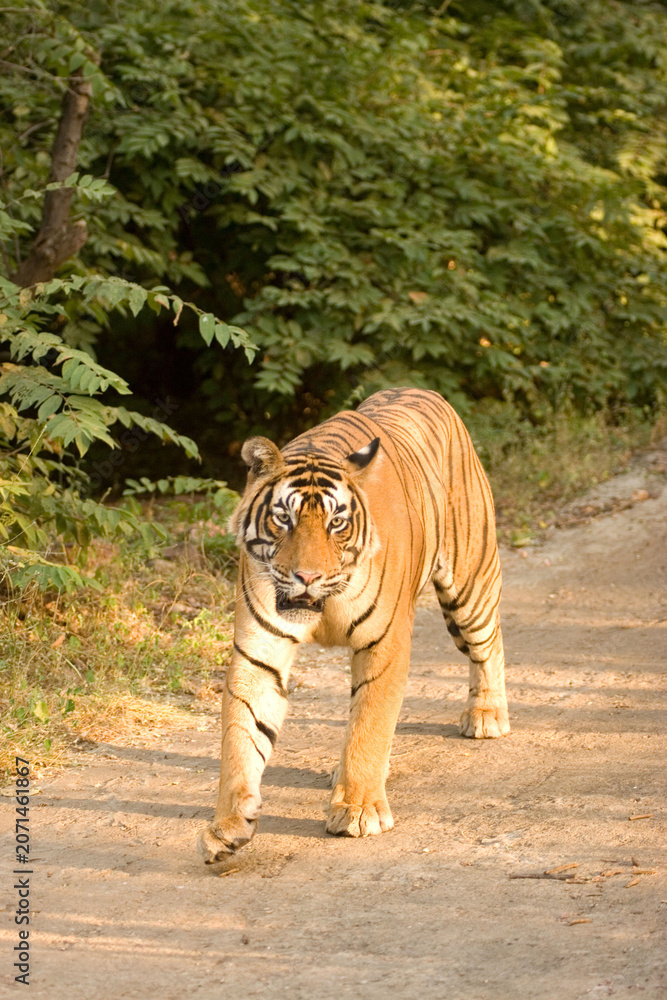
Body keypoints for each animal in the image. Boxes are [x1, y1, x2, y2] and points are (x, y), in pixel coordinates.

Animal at [198, 387, 509, 863]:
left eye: (336, 523)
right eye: (283, 518)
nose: (307, 576)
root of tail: (423, 389)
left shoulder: (385, 642)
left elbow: (370, 722)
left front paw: (359, 809)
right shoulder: (258, 651)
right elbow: (241, 734)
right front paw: (229, 825)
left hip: (470, 579)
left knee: (489, 644)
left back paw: (487, 715)